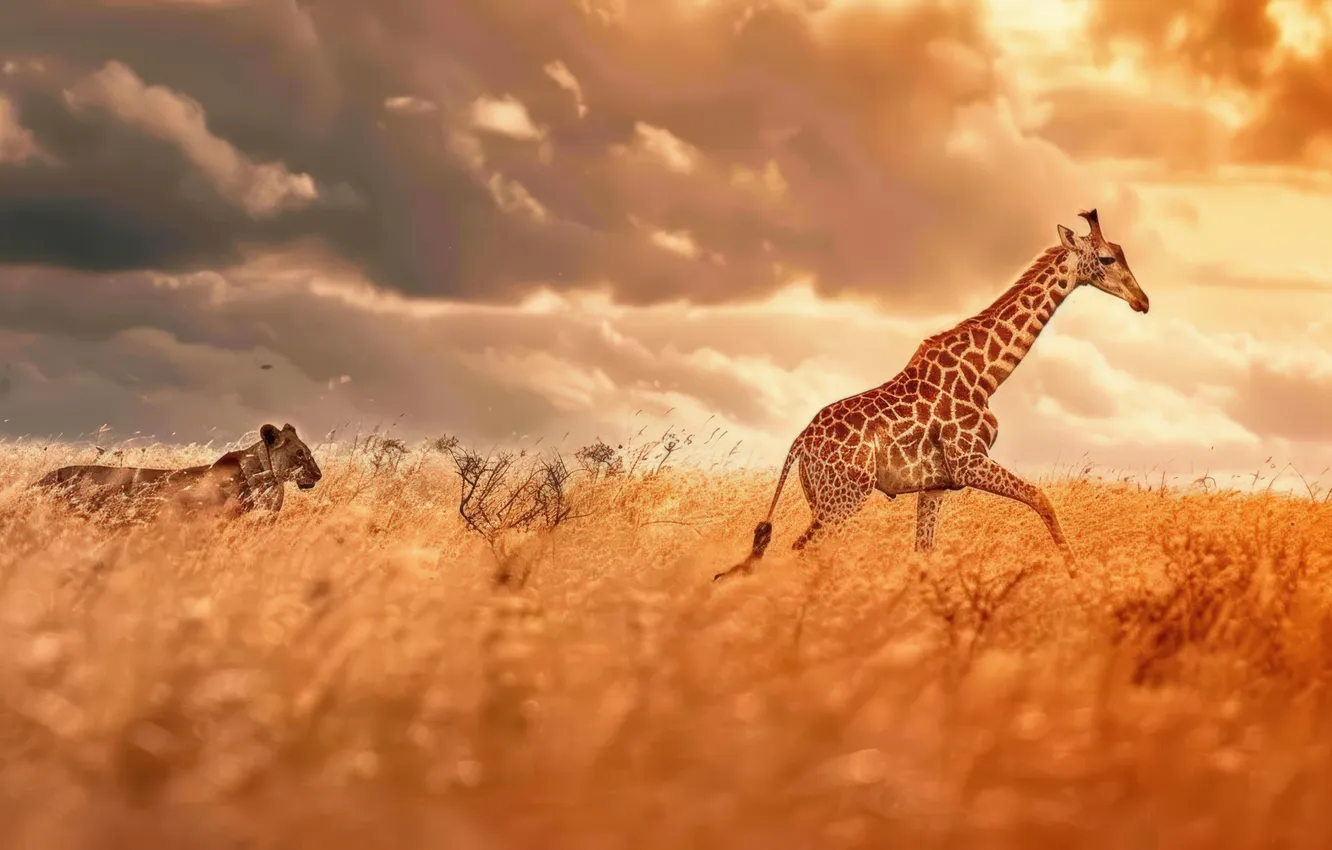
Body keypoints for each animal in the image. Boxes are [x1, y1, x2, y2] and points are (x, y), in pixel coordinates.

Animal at [714, 209, 1149, 582]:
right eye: (1108, 258)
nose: (1142, 301)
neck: (986, 375)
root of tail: (800, 443)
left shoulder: (936, 484)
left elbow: (923, 552)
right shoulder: (969, 462)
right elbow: (1042, 498)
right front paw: (1077, 577)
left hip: (821, 499)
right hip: (843, 499)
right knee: (801, 550)